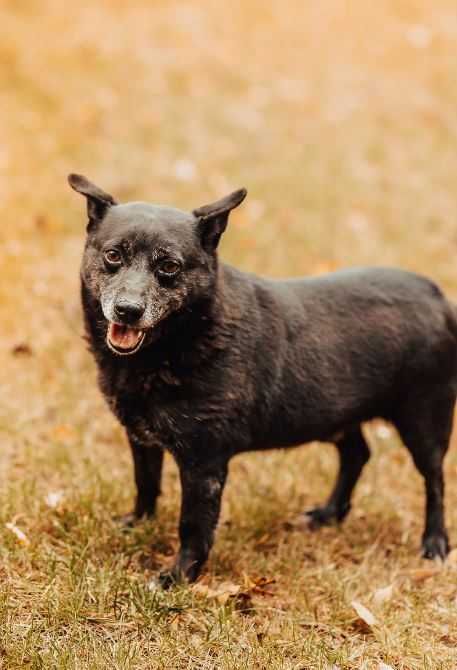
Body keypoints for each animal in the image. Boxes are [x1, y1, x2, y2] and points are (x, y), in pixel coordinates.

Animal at [69, 175, 454, 588]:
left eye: (169, 265)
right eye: (113, 255)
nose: (128, 310)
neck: (184, 338)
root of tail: (436, 294)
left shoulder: (204, 463)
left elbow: (193, 526)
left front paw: (180, 576)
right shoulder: (141, 438)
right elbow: (145, 484)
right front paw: (137, 524)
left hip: (424, 422)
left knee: (435, 481)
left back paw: (434, 543)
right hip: (337, 415)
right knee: (357, 454)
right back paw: (330, 514)